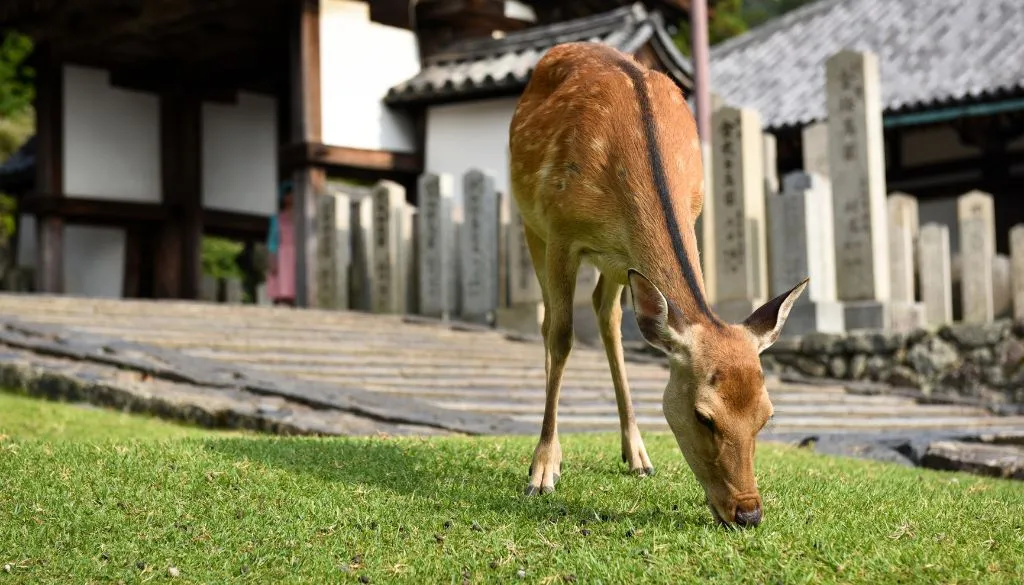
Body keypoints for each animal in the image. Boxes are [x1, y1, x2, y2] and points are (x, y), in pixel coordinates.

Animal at [505, 38, 806, 528]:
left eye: (767, 416)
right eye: (704, 417)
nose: (748, 513)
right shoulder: (560, 230)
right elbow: (563, 336)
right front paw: (542, 470)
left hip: (616, 261)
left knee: (606, 316)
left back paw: (637, 454)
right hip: (532, 224)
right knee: (551, 322)